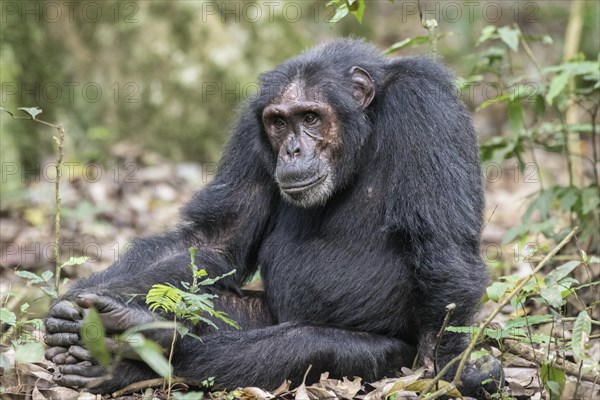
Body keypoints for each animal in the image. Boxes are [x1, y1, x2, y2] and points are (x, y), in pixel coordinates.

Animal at [45, 39, 502, 398]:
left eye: (311, 117)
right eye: (279, 122)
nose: (293, 150)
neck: (366, 128)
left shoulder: (427, 105)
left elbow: (443, 250)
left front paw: (444, 375)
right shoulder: (251, 131)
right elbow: (216, 237)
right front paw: (71, 302)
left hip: (386, 358)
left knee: (302, 347)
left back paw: (138, 345)